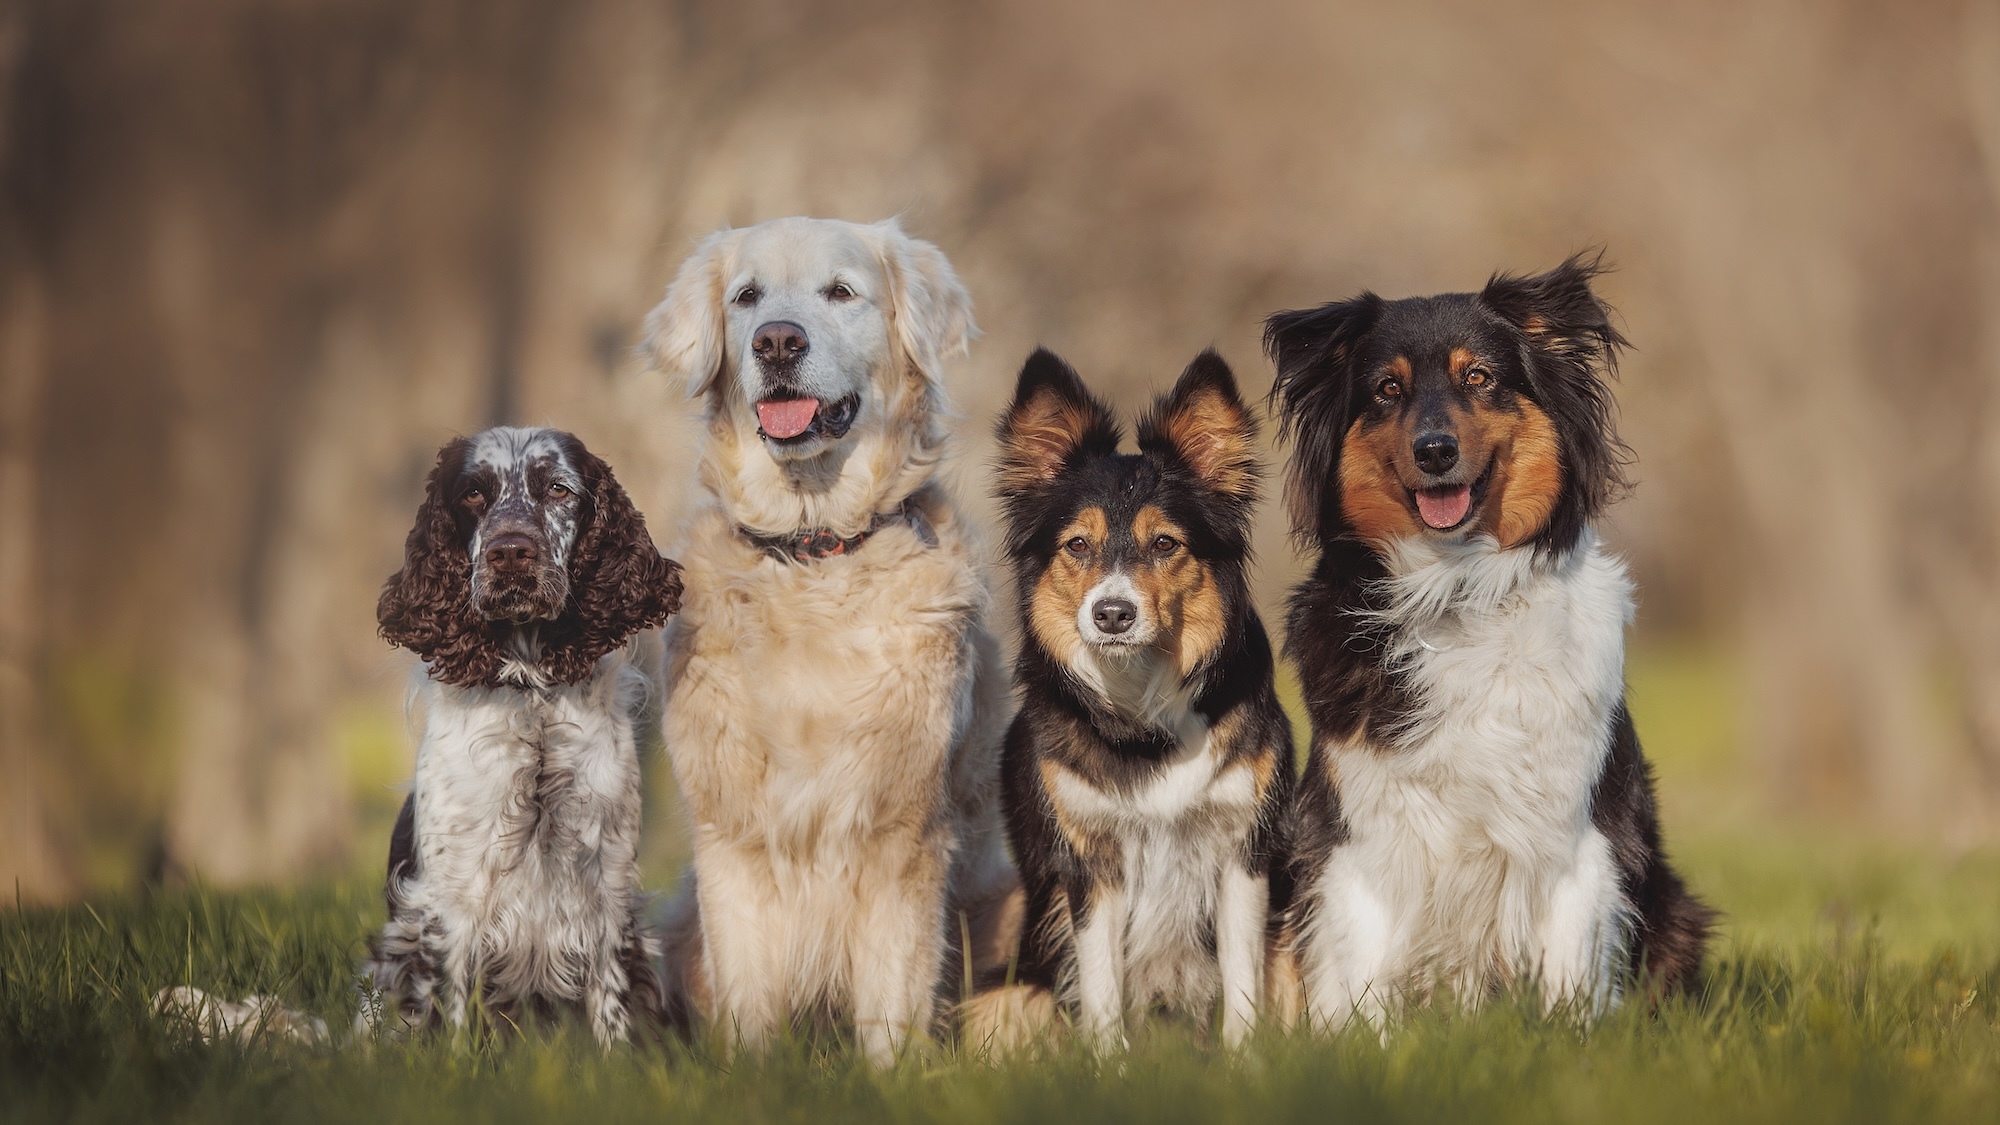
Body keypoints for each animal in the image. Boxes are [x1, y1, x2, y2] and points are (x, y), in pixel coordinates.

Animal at [964, 348, 1296, 1048]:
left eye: (1165, 543)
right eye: (1077, 545)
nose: (1112, 614)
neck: (1144, 715)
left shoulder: (1243, 849)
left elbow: (1242, 983)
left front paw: (1244, 1061)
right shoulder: (1091, 863)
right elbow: (1102, 988)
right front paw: (1110, 1063)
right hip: (1007, 991)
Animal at [1264, 254, 1704, 1024]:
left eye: (1479, 377)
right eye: (1387, 389)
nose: (1435, 451)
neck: (1458, 588)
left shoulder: (1577, 832)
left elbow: (1570, 970)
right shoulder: (1359, 834)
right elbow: (1358, 974)